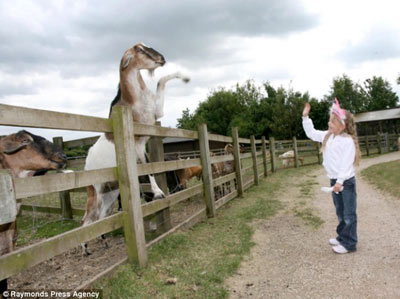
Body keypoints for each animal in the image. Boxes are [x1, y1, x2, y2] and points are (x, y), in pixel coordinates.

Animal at [81, 43, 191, 256]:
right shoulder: (138, 145)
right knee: (89, 218)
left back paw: (102, 243)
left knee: (101, 216)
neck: (135, 101)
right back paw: (87, 248)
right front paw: (158, 193)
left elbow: (161, 80)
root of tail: (86, 163)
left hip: (111, 192)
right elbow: (147, 168)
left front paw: (185, 76)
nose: (161, 58)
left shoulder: (156, 113)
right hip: (96, 189)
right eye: (139, 50)